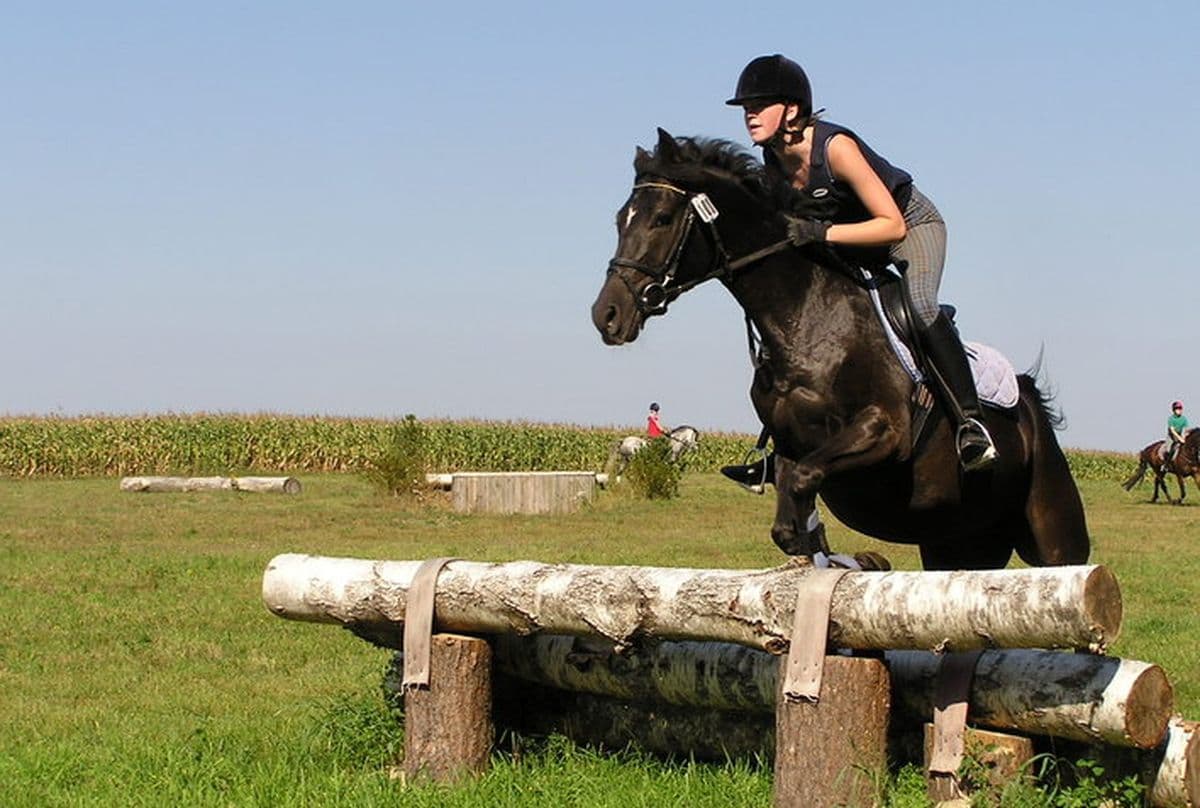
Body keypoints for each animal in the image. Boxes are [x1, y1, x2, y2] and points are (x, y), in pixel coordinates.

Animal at [590, 130, 1089, 566]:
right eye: (619, 220)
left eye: (661, 219)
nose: (606, 315)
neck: (804, 317)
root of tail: (1029, 399)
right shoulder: (790, 445)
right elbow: (790, 523)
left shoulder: (883, 432)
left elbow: (807, 481)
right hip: (957, 541)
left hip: (1054, 532)